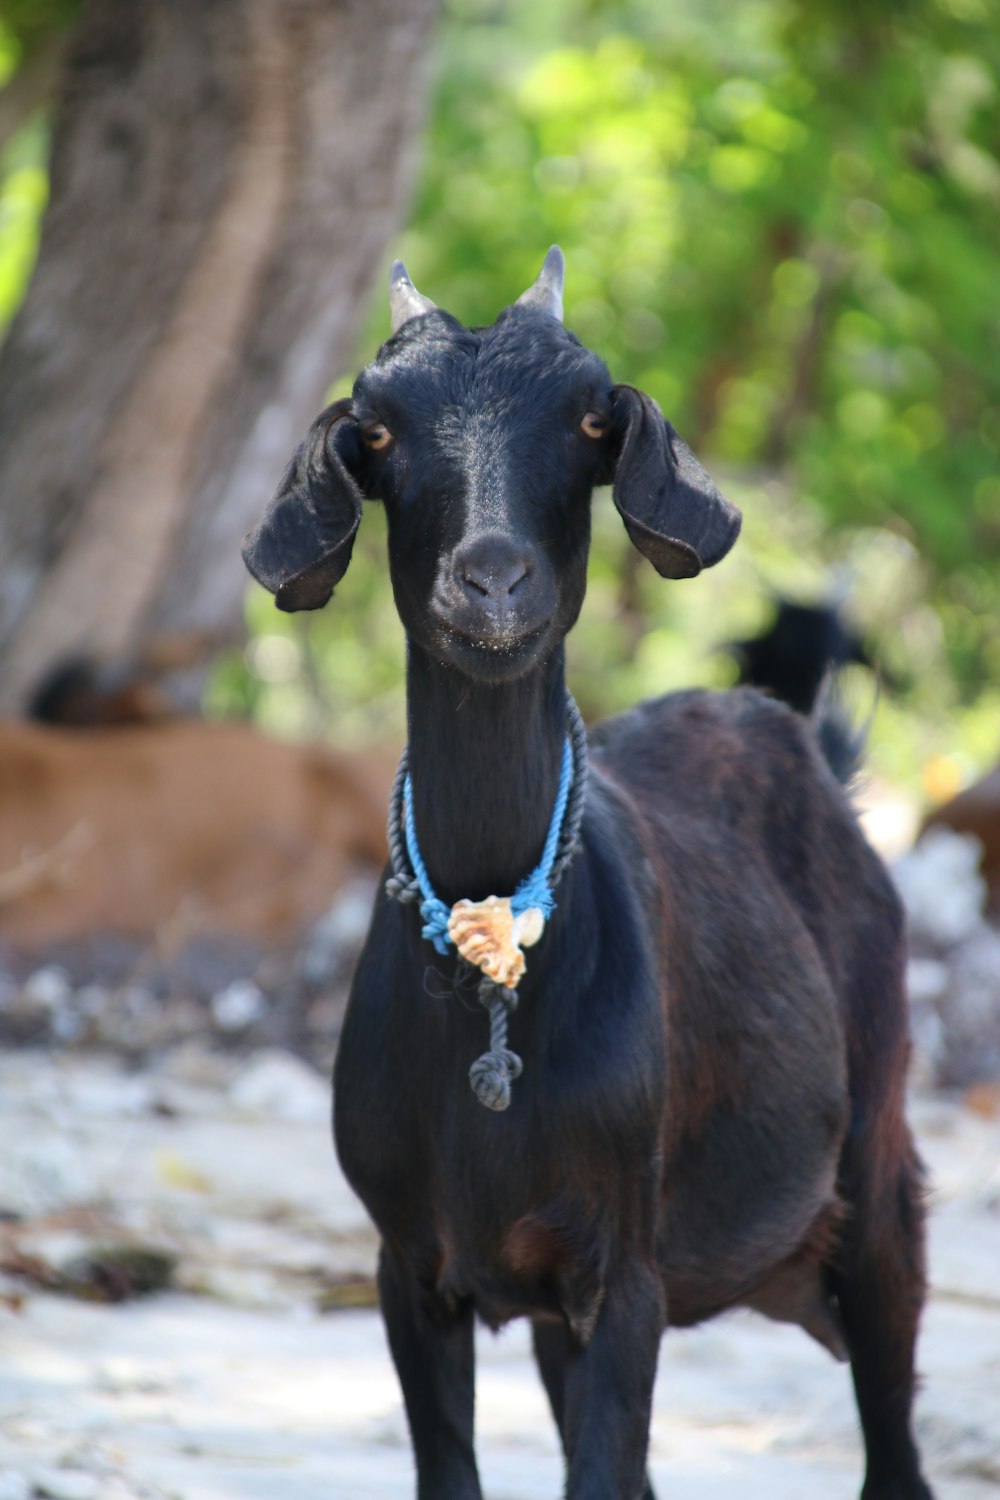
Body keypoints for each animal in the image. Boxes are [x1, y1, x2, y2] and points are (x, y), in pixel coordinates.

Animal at [242, 249, 929, 1500]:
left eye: (588, 419)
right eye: (378, 430)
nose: (491, 582)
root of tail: (803, 743)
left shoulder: (624, 1275)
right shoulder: (413, 1267)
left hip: (877, 1171)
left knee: (893, 1439)